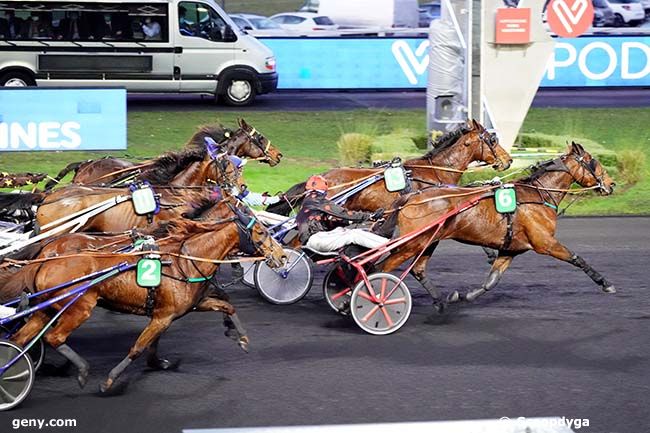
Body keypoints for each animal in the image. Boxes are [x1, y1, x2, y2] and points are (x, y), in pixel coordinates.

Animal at [8, 199, 284, 392]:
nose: (281, 256)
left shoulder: (180, 308)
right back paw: (82, 370)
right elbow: (139, 347)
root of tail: (46, 257)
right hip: (79, 308)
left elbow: (226, 306)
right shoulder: (163, 316)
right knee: (54, 337)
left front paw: (241, 337)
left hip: (46, 308)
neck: (184, 260)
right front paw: (109, 381)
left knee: (21, 339)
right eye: (261, 232)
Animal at [372, 142, 616, 308]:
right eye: (593, 161)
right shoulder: (545, 243)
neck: (538, 195)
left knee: (418, 269)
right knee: (380, 268)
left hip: (428, 241)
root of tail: (412, 196)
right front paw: (605, 283)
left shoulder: (511, 249)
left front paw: (465, 295)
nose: (611, 184)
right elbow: (577, 259)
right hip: (413, 242)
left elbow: (492, 281)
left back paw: (441, 302)